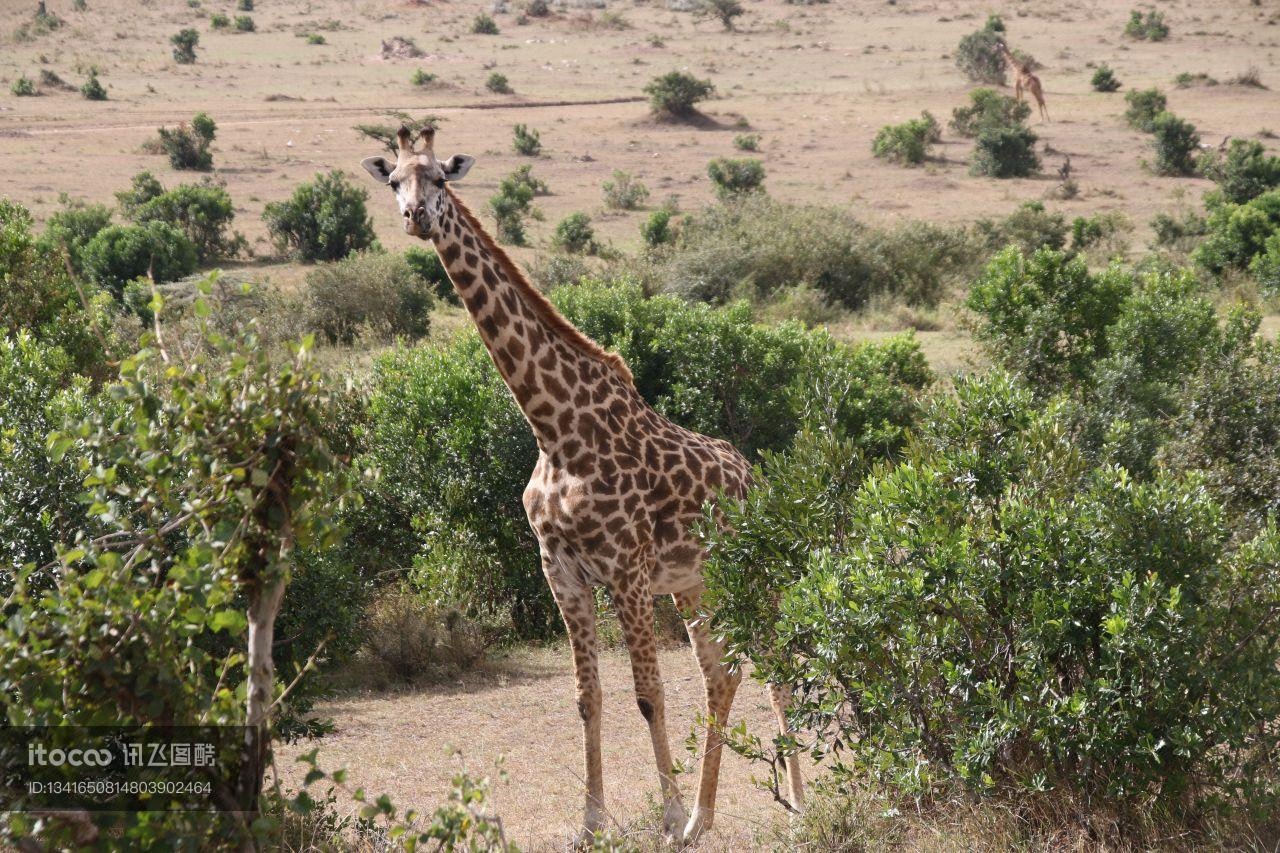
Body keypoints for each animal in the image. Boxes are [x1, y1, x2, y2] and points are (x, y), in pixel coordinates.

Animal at [358, 126, 798, 845]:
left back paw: (791, 805)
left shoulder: (626, 568)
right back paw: (706, 818)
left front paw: (664, 818)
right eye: (393, 180)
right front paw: (593, 825)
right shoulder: (560, 569)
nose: (416, 217)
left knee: (771, 665)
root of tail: (752, 477)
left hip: (750, 573)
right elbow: (587, 697)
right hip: (696, 584)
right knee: (722, 672)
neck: (554, 427)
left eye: (441, 179)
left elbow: (648, 692)